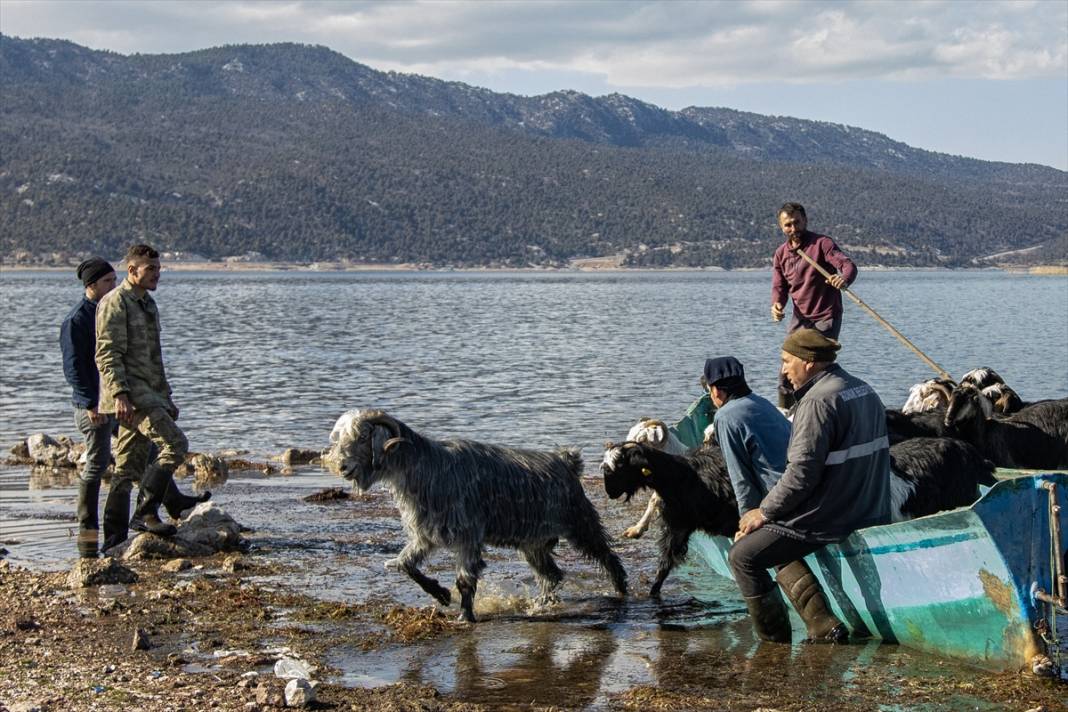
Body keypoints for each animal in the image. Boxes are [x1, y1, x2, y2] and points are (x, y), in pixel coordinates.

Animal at [324, 409, 623, 619]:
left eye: (363, 436)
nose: (342, 466)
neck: (426, 468)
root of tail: (566, 461)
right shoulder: (424, 536)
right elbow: (405, 564)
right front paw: (441, 594)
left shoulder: (467, 535)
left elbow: (465, 580)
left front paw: (465, 616)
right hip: (532, 543)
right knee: (552, 575)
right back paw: (541, 603)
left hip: (580, 523)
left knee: (607, 557)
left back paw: (621, 590)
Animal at [606, 439, 995, 597]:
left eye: (619, 466)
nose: (608, 493)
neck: (684, 475)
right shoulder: (679, 526)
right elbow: (664, 564)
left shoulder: (684, 526)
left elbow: (665, 565)